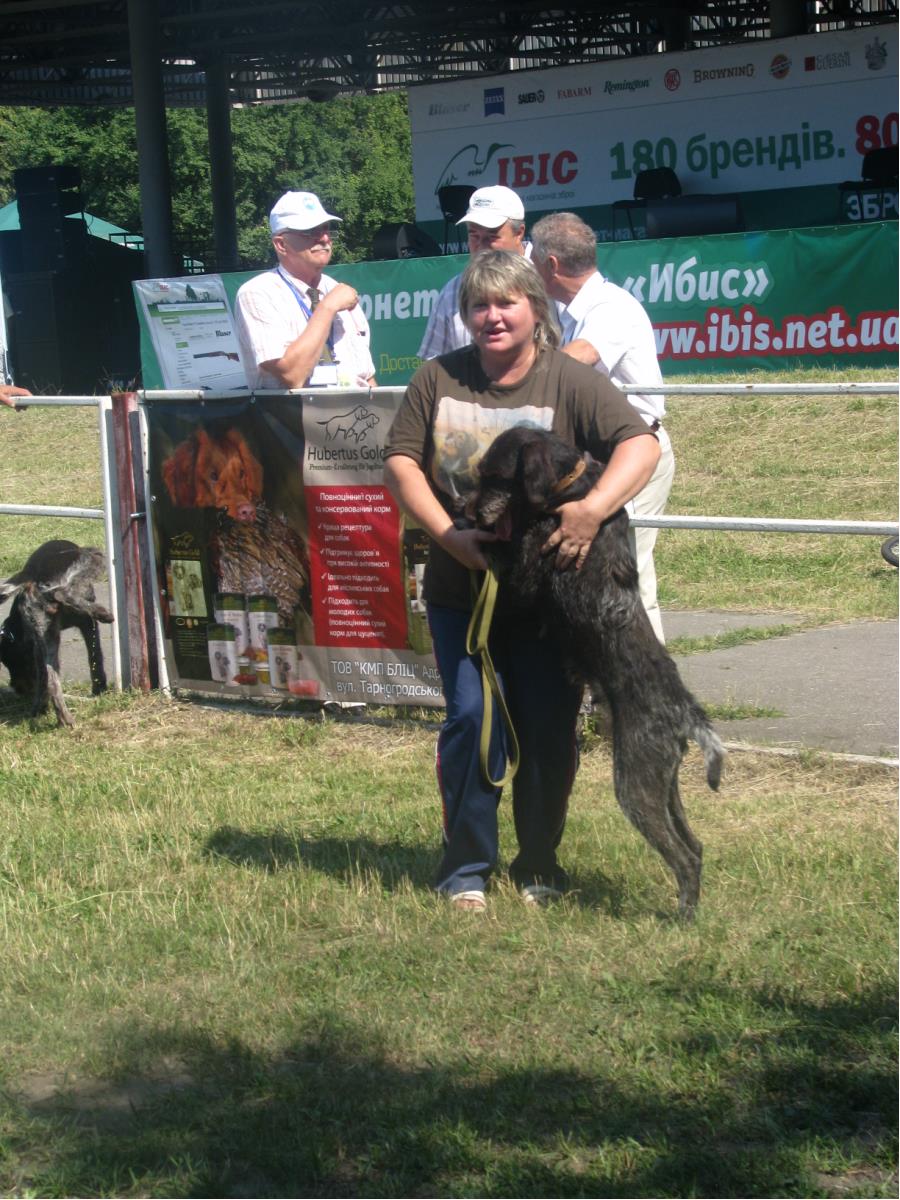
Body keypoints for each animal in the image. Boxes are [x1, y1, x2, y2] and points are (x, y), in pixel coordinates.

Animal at [0, 540, 113, 727]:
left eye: (10, 661)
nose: (17, 689)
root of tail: (31, 576)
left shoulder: (38, 644)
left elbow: (43, 679)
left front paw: (38, 709)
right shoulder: (87, 623)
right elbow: (95, 658)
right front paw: (100, 689)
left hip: (50, 637)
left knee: (52, 680)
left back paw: (65, 720)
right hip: (93, 555)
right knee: (62, 592)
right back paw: (103, 613)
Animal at [470, 426, 724, 918]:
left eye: (495, 475)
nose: (467, 510)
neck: (571, 486)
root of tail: (687, 713)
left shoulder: (528, 567)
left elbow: (506, 554)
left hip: (636, 786)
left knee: (683, 855)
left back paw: (683, 917)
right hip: (665, 786)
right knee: (696, 847)